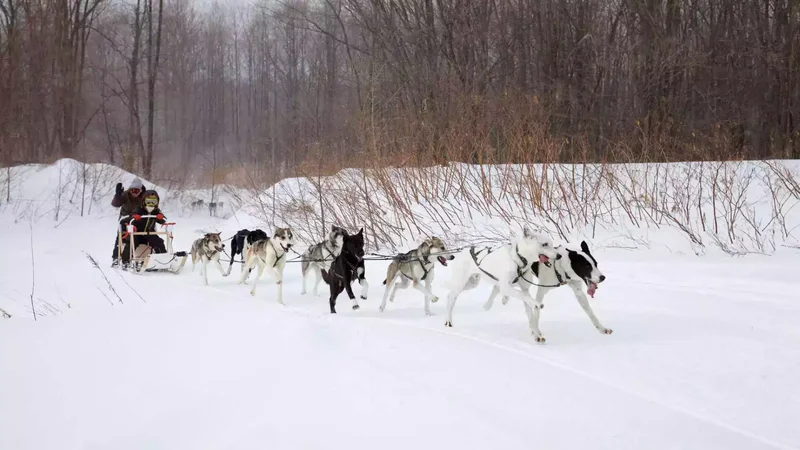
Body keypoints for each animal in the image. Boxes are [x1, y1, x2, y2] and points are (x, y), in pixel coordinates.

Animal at [482, 241, 612, 342]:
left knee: (499, 287)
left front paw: (602, 328)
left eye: (596, 264)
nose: (603, 277)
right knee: (502, 287)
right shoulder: (541, 291)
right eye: (587, 266)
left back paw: (498, 301)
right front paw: (536, 333)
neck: (560, 266)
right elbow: (536, 313)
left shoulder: (578, 291)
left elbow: (590, 313)